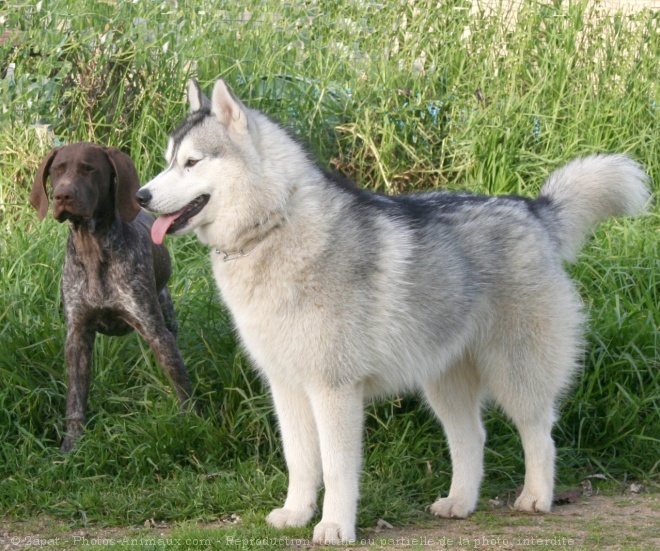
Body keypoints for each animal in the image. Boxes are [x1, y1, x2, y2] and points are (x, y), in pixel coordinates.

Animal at [30, 143, 195, 452]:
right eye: (57, 170)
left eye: (89, 169)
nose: (62, 196)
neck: (92, 247)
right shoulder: (77, 336)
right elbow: (75, 398)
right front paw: (71, 444)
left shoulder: (156, 331)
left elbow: (180, 381)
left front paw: (194, 421)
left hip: (167, 317)